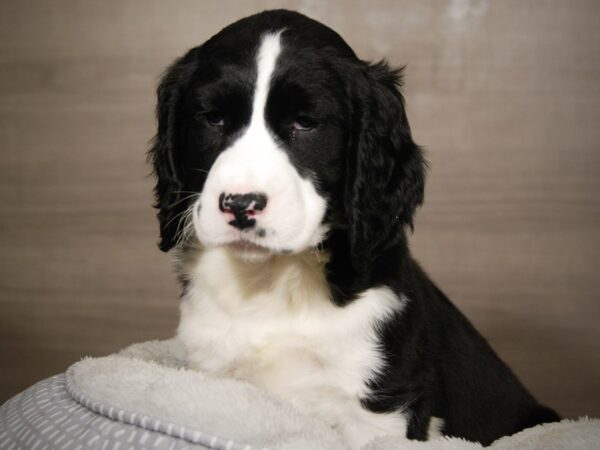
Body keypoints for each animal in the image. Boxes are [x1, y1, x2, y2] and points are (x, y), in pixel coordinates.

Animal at [148, 8, 560, 448]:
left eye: (305, 124)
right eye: (213, 119)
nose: (241, 205)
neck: (272, 281)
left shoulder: (382, 405)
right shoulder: (214, 375)